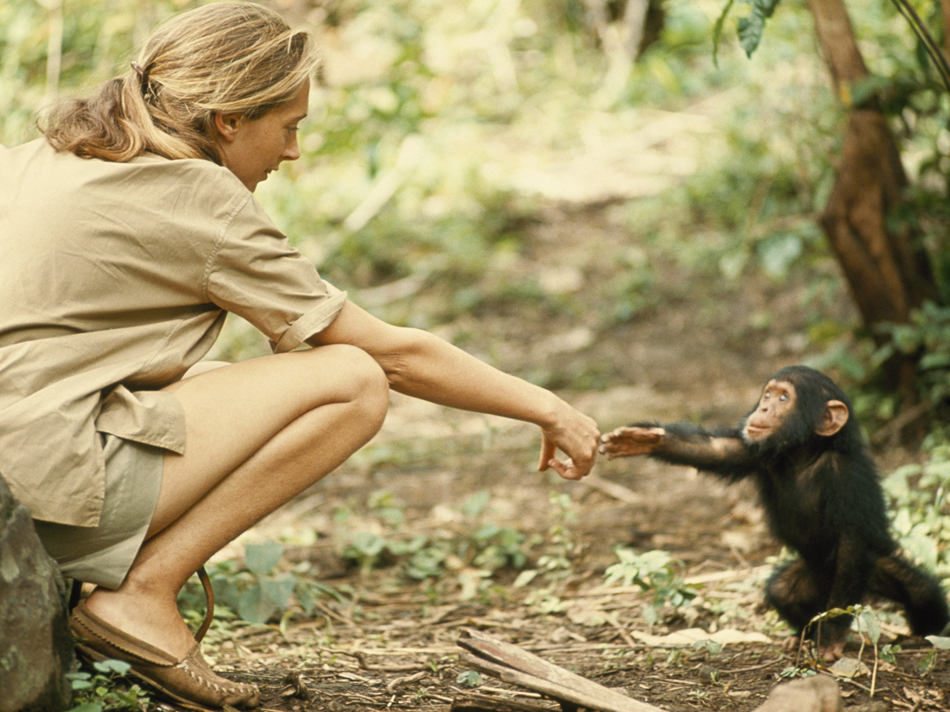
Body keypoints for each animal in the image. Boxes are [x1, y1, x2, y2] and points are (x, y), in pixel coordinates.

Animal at [604, 368, 950, 660]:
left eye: (784, 398)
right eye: (768, 394)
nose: (763, 409)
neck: (804, 454)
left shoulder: (847, 478)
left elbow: (852, 542)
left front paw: (833, 636)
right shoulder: (753, 449)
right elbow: (714, 450)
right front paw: (644, 439)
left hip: (867, 573)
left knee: (922, 593)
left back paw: (921, 632)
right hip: (811, 579)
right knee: (782, 592)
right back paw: (801, 634)